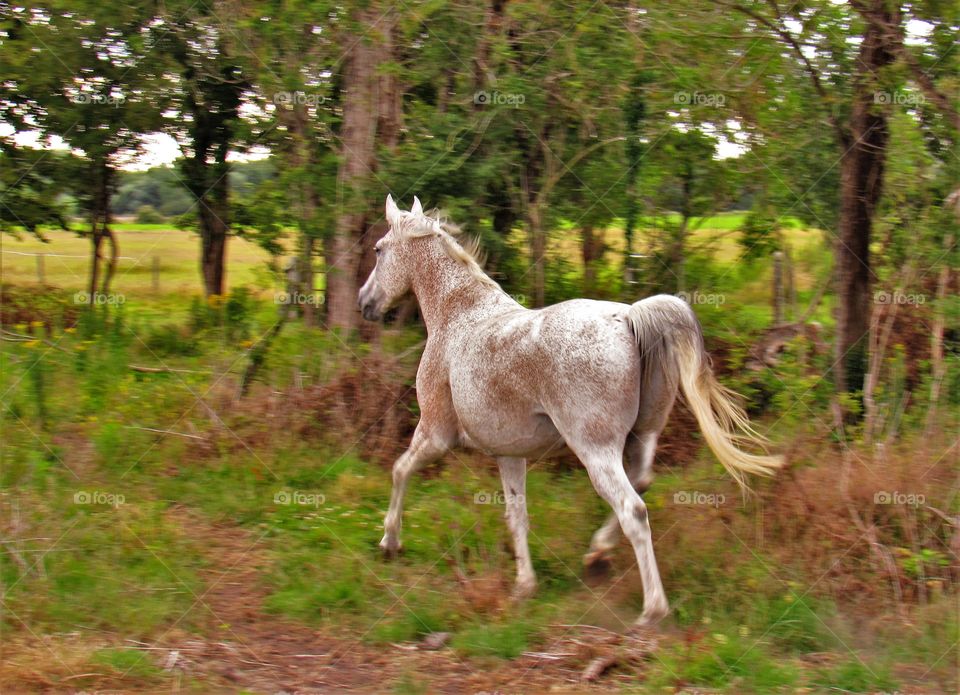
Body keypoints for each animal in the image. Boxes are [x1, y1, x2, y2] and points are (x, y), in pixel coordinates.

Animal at [356, 196, 784, 632]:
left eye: (379, 249)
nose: (365, 303)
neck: (458, 316)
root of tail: (629, 318)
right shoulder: (508, 454)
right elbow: (517, 515)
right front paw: (524, 586)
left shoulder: (436, 434)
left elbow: (399, 470)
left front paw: (389, 542)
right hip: (642, 438)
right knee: (642, 483)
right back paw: (597, 555)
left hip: (595, 450)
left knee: (632, 510)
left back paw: (652, 610)